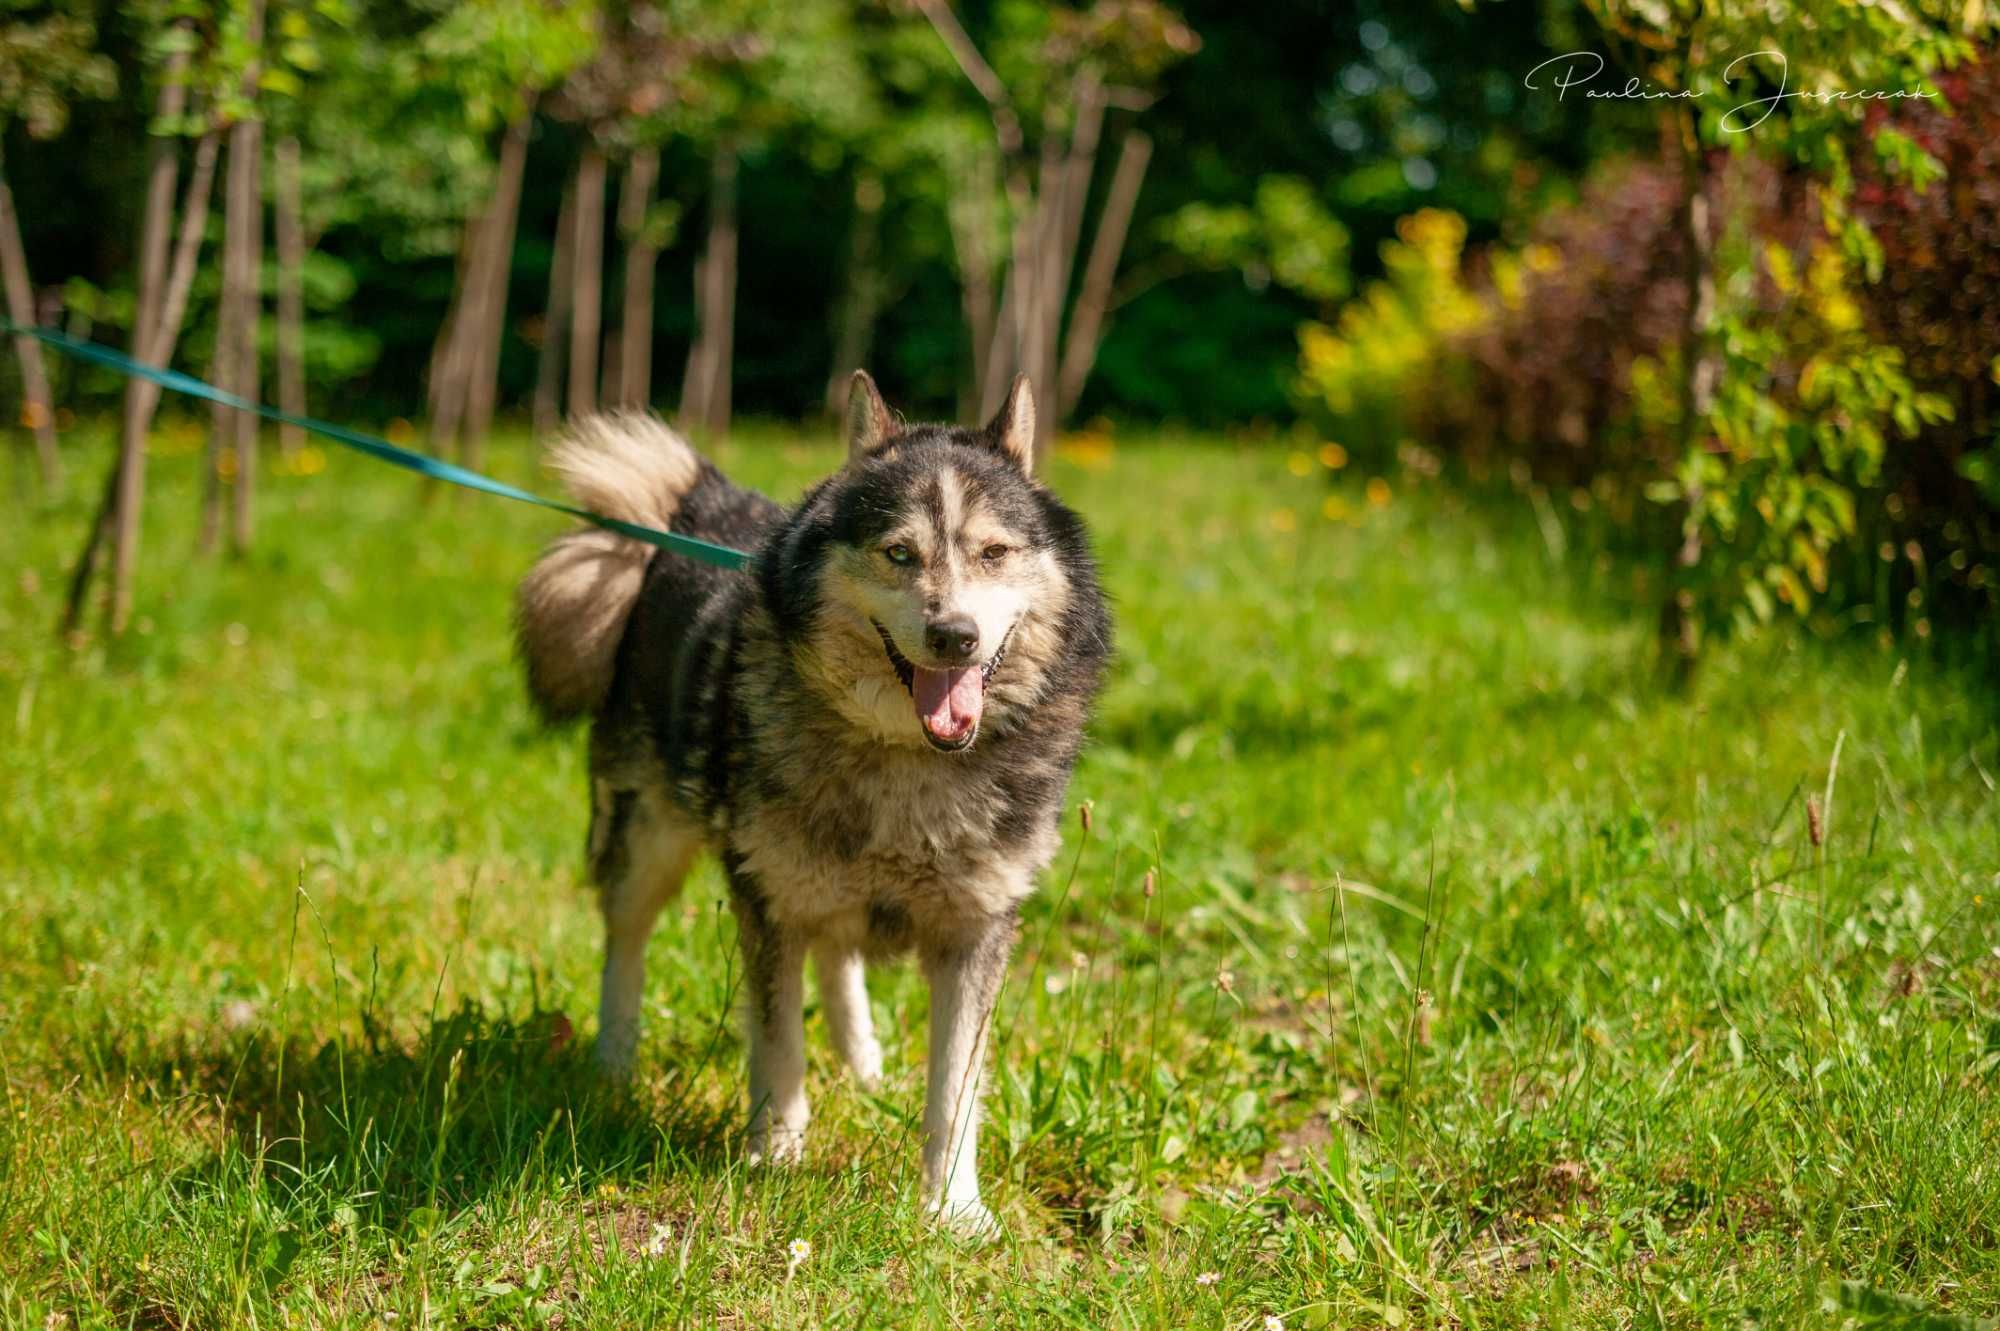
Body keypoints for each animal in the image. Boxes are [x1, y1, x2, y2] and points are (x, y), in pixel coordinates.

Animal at [516, 367, 1112, 1231]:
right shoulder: (768, 900)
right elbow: (776, 1043)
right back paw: (613, 1063)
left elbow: (956, 1086)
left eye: (994, 552)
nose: (956, 636)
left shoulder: (977, 927)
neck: (908, 758)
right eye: (899, 553)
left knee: (840, 949)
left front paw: (953, 1210)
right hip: (649, 835)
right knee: (625, 939)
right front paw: (775, 1155)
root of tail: (702, 504)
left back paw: (863, 1062)